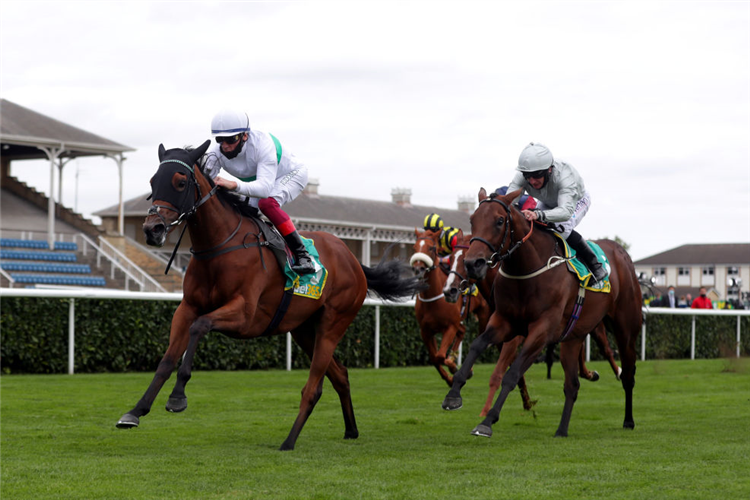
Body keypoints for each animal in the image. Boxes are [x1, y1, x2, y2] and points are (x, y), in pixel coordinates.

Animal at [114, 139, 426, 452]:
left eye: (180, 182)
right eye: (152, 181)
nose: (152, 230)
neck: (220, 247)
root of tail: (353, 260)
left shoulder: (244, 316)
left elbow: (199, 327)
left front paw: (178, 397)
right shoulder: (187, 308)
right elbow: (167, 360)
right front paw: (135, 412)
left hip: (332, 325)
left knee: (313, 386)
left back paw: (289, 440)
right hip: (304, 330)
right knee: (340, 374)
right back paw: (351, 429)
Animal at [412, 229, 494, 384]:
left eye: (431, 248)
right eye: (414, 248)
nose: (418, 268)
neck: (432, 298)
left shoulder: (450, 327)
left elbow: (440, 355)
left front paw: (454, 367)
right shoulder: (426, 330)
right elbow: (434, 358)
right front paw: (449, 378)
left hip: (483, 314)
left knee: (479, 338)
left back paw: (466, 367)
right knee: (462, 330)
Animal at [444, 188, 644, 438]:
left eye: (499, 221)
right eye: (473, 219)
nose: (473, 263)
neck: (526, 270)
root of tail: (621, 253)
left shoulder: (540, 331)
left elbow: (511, 374)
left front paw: (487, 420)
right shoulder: (504, 322)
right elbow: (477, 345)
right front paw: (453, 395)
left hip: (625, 328)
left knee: (627, 373)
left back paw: (628, 420)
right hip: (573, 337)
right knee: (572, 385)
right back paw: (562, 430)